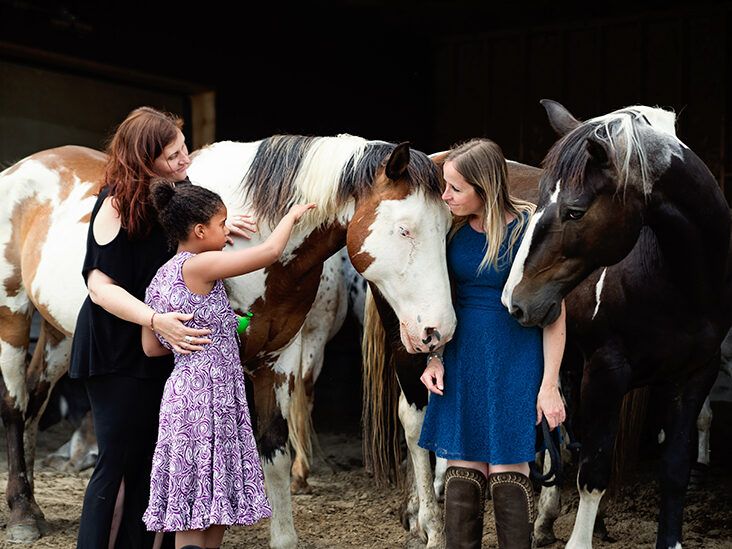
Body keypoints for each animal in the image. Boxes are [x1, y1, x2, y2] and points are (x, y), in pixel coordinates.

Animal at [0, 134, 454, 548]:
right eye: (404, 229)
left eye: (447, 229)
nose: (440, 330)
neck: (251, 241)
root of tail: (19, 169)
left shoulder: (279, 359)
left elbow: (274, 449)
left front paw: (283, 536)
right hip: (13, 319)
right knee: (15, 404)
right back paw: (22, 515)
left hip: (59, 336)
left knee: (36, 399)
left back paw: (33, 506)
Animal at [504, 100, 732, 544]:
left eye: (575, 211)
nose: (515, 301)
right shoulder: (605, 374)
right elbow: (593, 472)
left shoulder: (695, 374)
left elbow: (674, 469)